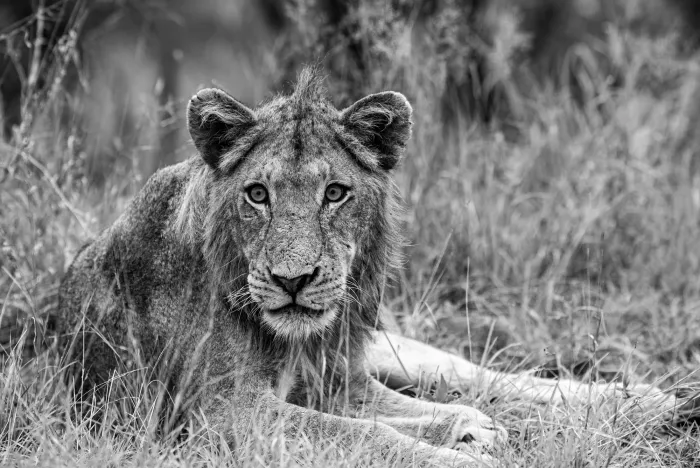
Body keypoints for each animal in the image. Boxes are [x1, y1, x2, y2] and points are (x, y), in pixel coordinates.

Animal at [58, 66, 677, 467]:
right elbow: (369, 433)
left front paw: (468, 429)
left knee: (473, 374)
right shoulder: (221, 411)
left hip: (386, 348)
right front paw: (467, 441)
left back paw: (646, 400)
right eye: (257, 194)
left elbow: (387, 418)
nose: (292, 281)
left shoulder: (338, 380)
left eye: (335, 193)